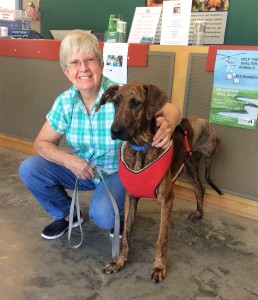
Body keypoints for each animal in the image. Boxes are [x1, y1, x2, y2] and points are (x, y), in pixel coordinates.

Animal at [95, 82, 222, 284]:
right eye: (116, 102)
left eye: (136, 103)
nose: (114, 131)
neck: (141, 147)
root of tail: (205, 121)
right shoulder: (130, 197)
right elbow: (126, 236)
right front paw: (119, 261)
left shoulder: (167, 200)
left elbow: (161, 238)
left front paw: (159, 267)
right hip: (190, 164)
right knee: (200, 188)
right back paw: (199, 213)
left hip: (201, 158)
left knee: (200, 188)